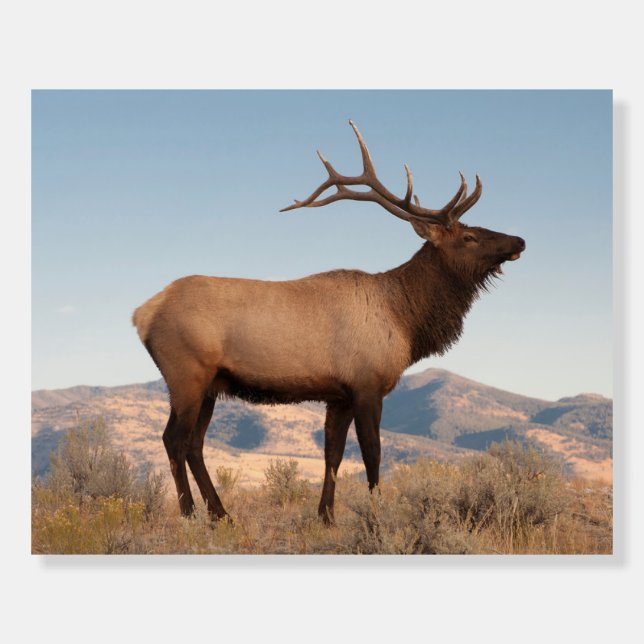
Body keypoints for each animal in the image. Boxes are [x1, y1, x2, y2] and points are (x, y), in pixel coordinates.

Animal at [132, 121, 525, 524]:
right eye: (469, 236)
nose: (519, 240)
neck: (405, 321)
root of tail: (142, 314)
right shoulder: (367, 384)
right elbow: (372, 453)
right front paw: (376, 514)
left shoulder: (339, 395)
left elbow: (332, 454)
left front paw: (326, 516)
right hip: (186, 375)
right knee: (174, 440)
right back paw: (189, 513)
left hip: (210, 384)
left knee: (195, 443)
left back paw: (221, 514)